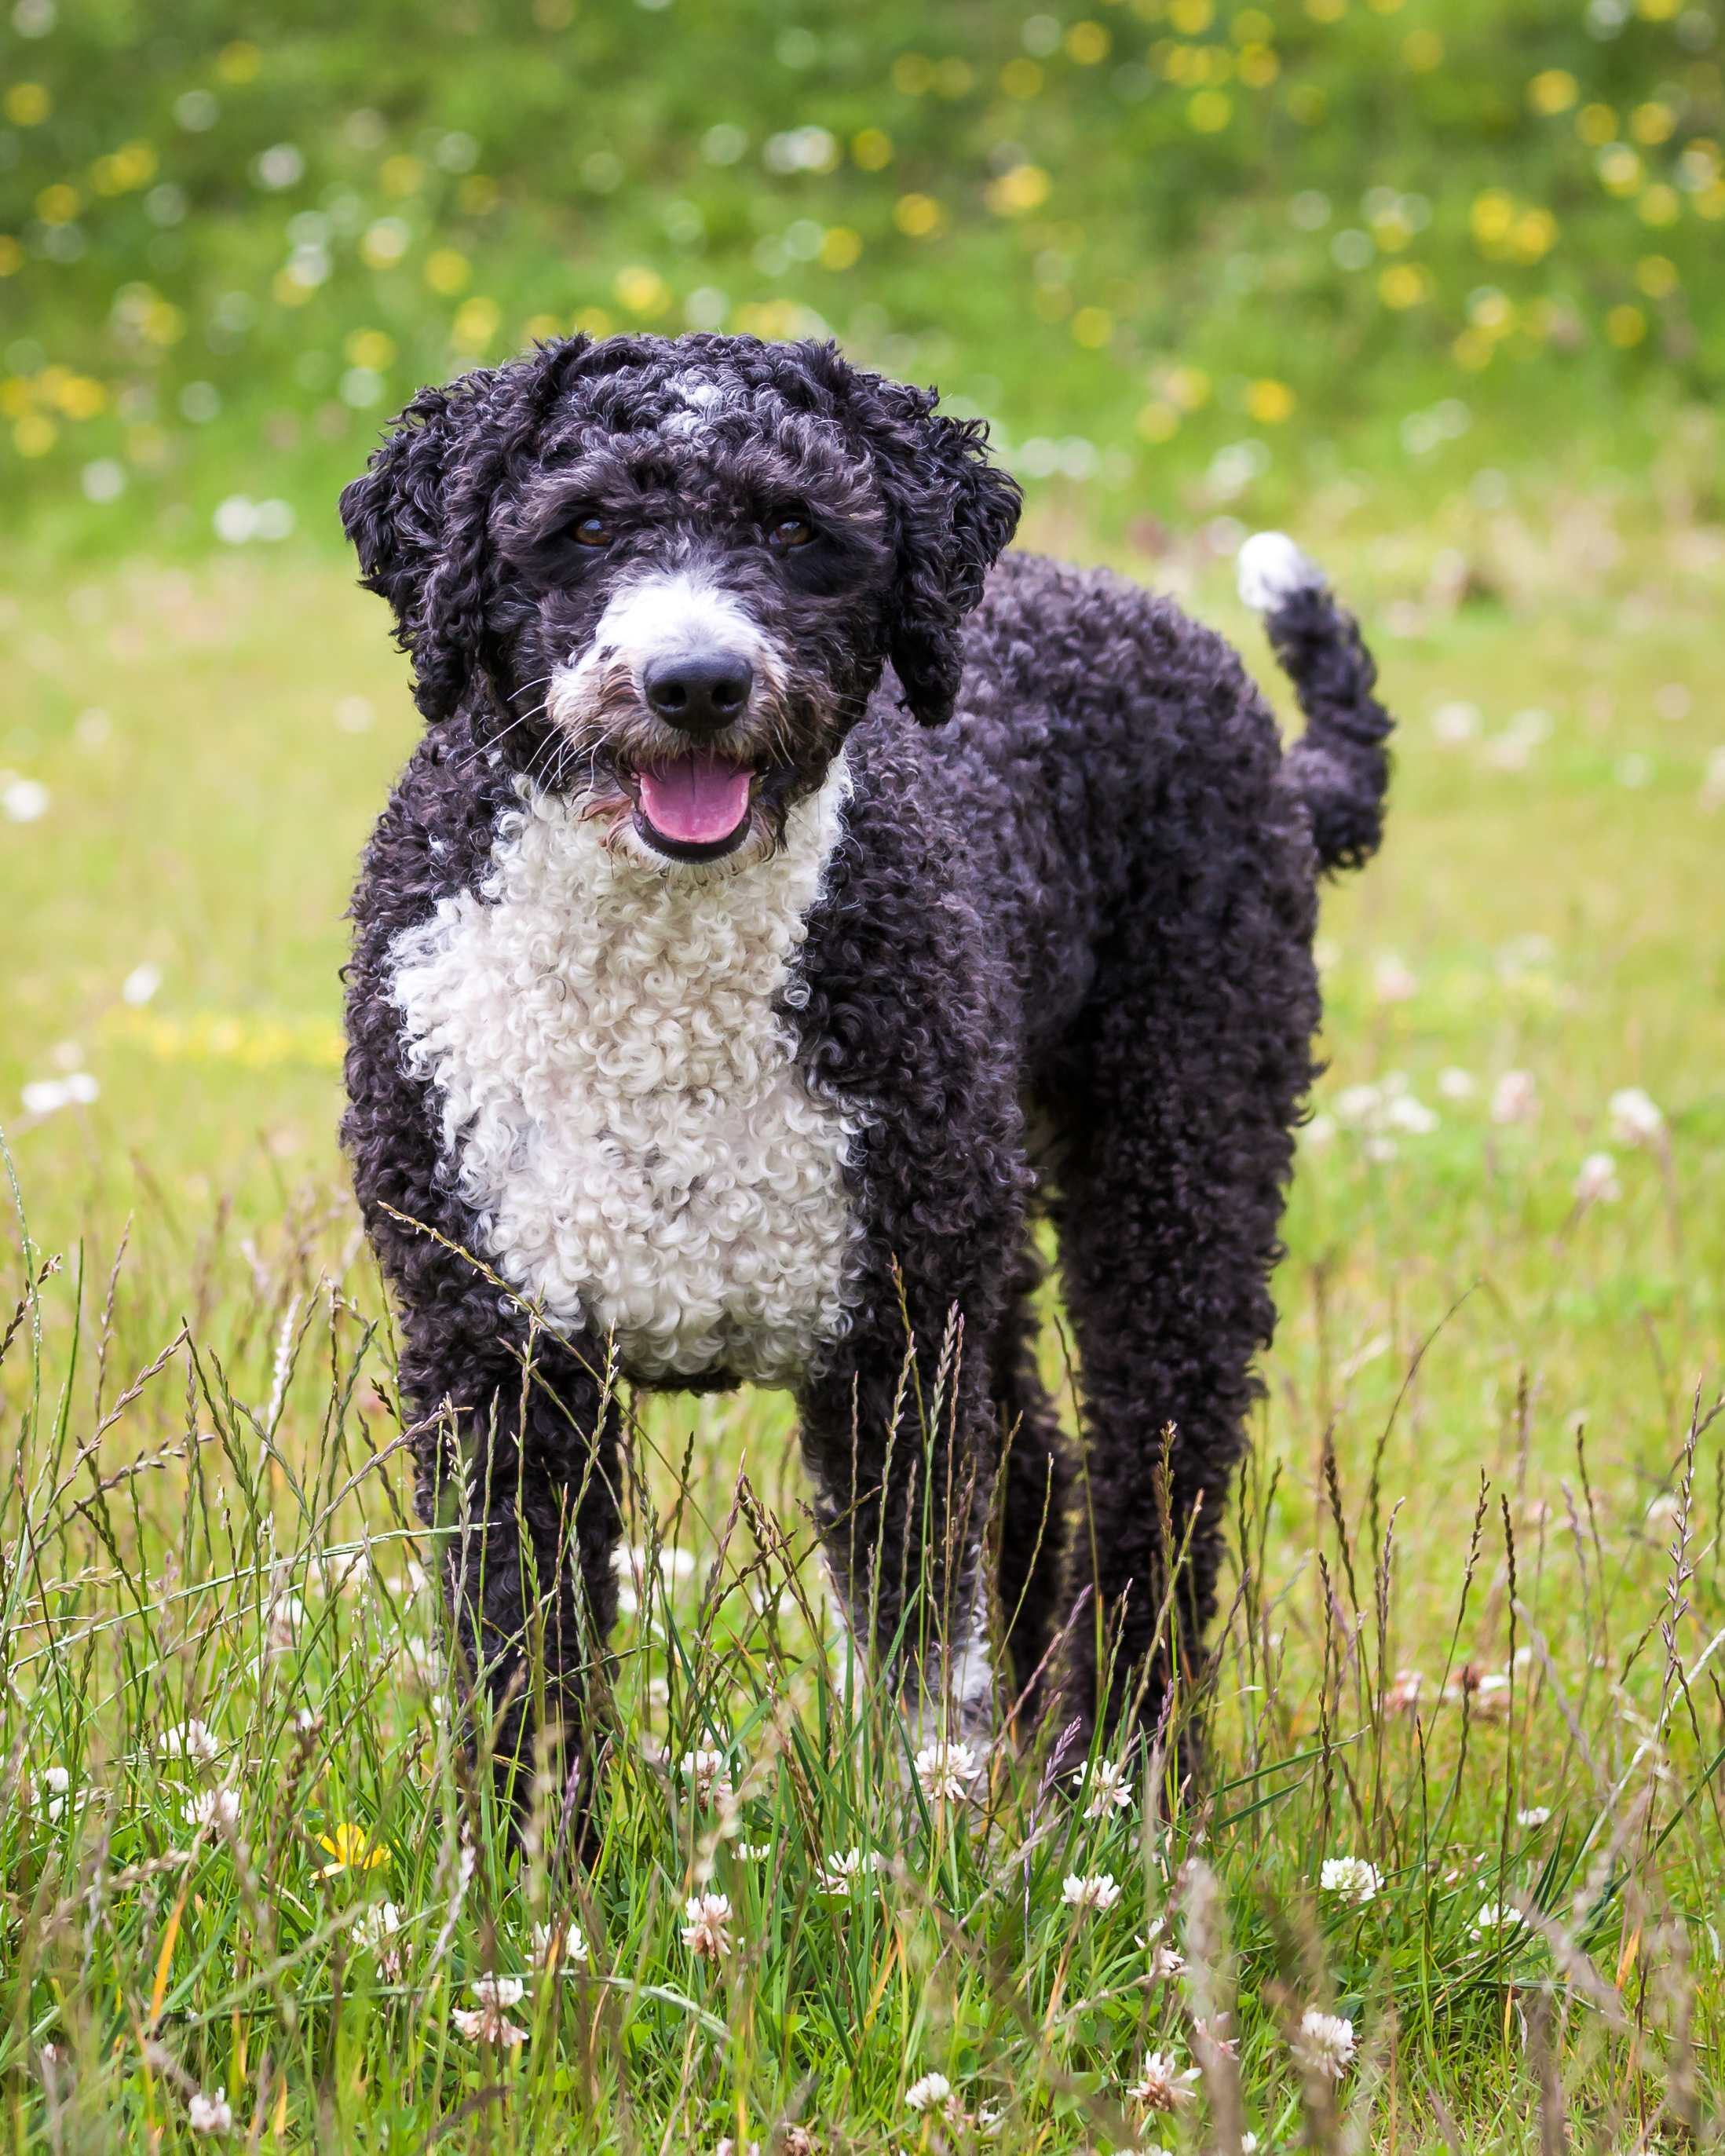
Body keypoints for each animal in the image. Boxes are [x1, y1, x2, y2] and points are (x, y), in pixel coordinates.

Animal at [336, 331, 1388, 1819]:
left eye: (796, 528)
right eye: (583, 526)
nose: (698, 682)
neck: (661, 993)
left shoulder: (891, 1353)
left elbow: (915, 1670)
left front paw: (912, 1863)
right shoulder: (496, 1348)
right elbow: (523, 1676)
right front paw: (533, 1879)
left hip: (1177, 1166)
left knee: (1155, 1493)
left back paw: (1115, 1782)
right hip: (987, 1232)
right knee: (1039, 1469)